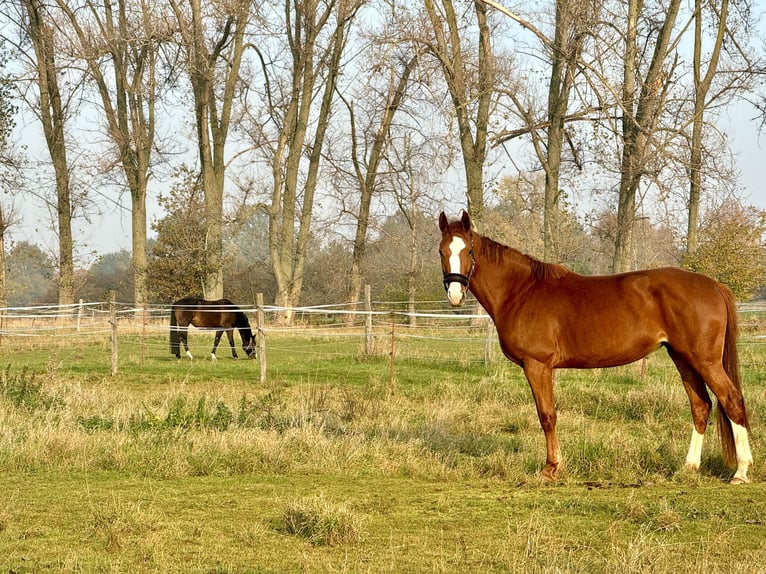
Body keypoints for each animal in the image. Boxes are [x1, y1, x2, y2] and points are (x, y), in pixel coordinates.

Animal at [439, 210, 753, 484]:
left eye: (468, 252)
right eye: (442, 251)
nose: (455, 295)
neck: (521, 291)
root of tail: (714, 286)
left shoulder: (537, 365)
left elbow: (547, 416)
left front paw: (551, 468)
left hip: (705, 360)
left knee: (732, 400)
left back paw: (740, 471)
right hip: (683, 358)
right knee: (701, 406)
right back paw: (689, 467)